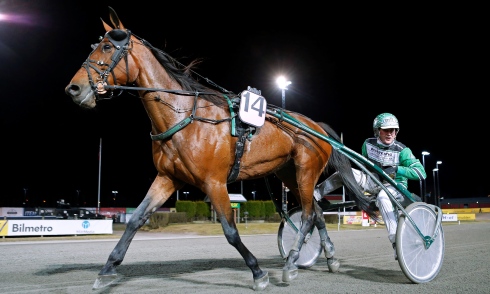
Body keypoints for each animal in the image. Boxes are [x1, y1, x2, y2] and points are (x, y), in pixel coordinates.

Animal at [65, 6, 378, 290]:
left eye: (107, 46)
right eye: (95, 46)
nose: (74, 89)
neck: (185, 116)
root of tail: (315, 126)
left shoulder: (213, 182)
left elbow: (230, 231)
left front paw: (258, 272)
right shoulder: (168, 178)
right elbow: (135, 220)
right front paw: (107, 269)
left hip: (305, 169)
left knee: (310, 214)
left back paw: (290, 264)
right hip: (289, 173)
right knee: (315, 212)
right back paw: (329, 258)